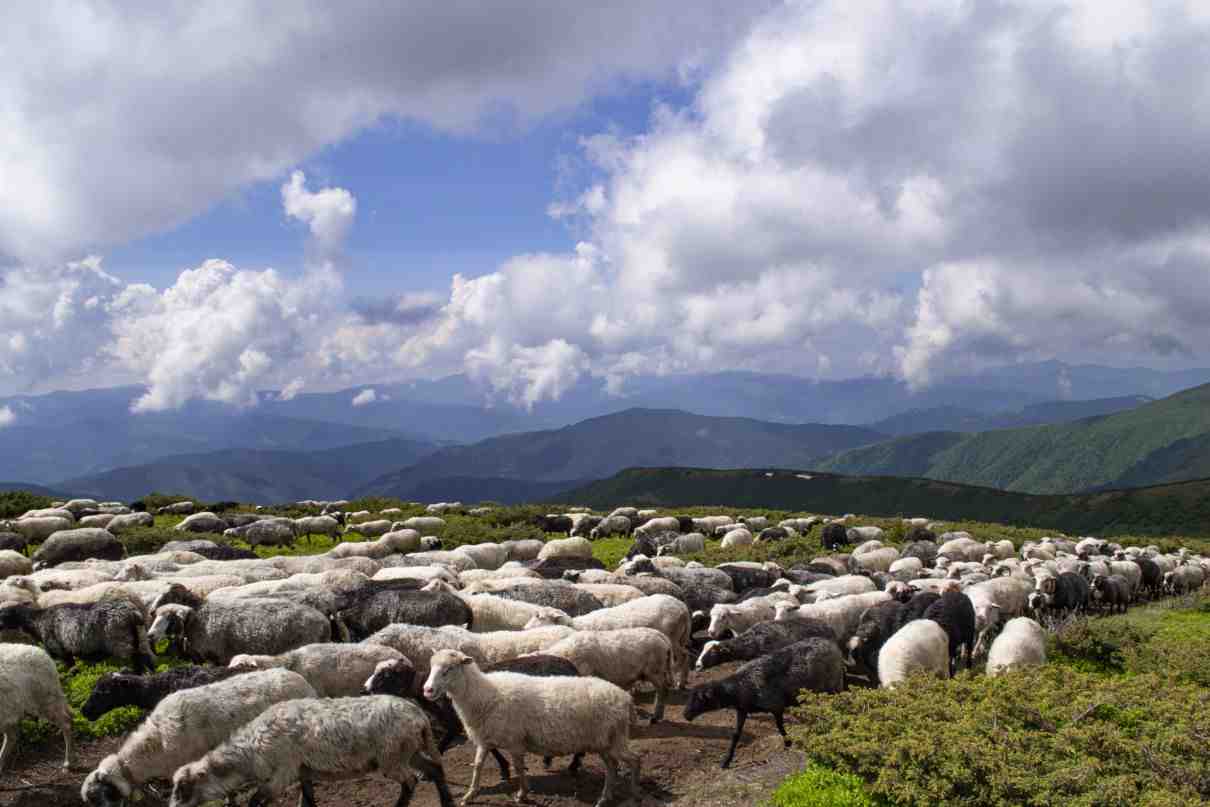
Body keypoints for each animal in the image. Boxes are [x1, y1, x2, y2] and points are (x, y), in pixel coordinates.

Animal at [0, 600, 155, 671]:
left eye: (3, 616)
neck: (37, 621)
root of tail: (132, 613)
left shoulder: (59, 649)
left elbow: (71, 667)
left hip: (120, 640)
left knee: (135, 657)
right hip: (141, 636)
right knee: (146, 657)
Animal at [147, 599, 331, 665]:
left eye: (170, 618)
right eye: (156, 616)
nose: (150, 635)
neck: (198, 624)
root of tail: (324, 622)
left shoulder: (217, 657)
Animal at [169, 695, 454, 807]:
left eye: (183, 787)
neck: (248, 753)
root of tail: (419, 716)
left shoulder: (283, 772)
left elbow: (256, 799)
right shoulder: (302, 771)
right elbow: (307, 799)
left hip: (391, 756)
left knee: (410, 781)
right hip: (409, 751)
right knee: (435, 769)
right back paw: (447, 802)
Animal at [423, 649, 640, 807]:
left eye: (449, 669)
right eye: (431, 666)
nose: (427, 690)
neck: (482, 695)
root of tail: (625, 698)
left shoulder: (515, 741)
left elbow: (519, 768)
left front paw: (522, 794)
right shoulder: (485, 739)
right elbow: (477, 766)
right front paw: (470, 795)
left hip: (614, 739)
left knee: (634, 760)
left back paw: (633, 794)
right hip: (604, 742)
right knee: (612, 766)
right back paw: (604, 798)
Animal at [683, 637, 844, 769]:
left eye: (699, 699)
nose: (685, 715)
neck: (741, 686)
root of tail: (831, 644)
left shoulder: (776, 705)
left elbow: (780, 726)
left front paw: (788, 742)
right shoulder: (742, 710)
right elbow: (736, 734)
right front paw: (726, 761)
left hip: (832, 684)